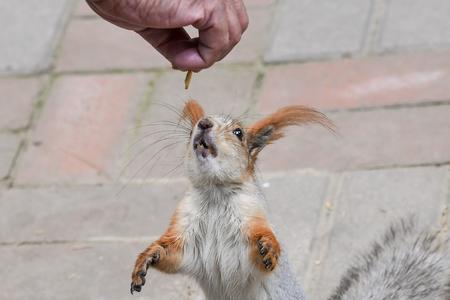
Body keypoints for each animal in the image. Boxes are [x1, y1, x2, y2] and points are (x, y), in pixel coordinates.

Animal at [128, 100, 448, 298]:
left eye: (238, 132)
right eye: (194, 127)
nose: (203, 124)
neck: (215, 194)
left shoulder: (253, 217)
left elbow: (263, 249)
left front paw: (269, 248)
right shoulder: (186, 226)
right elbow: (173, 254)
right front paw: (145, 262)